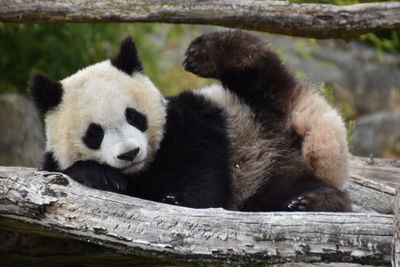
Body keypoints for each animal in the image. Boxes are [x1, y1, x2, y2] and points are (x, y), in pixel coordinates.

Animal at [29, 30, 352, 213]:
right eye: (94, 133)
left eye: (133, 116)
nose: (129, 153)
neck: (144, 168)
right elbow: (63, 169)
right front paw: (103, 176)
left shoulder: (189, 126)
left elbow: (203, 177)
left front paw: (179, 200)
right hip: (271, 182)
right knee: (279, 196)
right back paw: (314, 201)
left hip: (266, 106)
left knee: (264, 73)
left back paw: (207, 54)